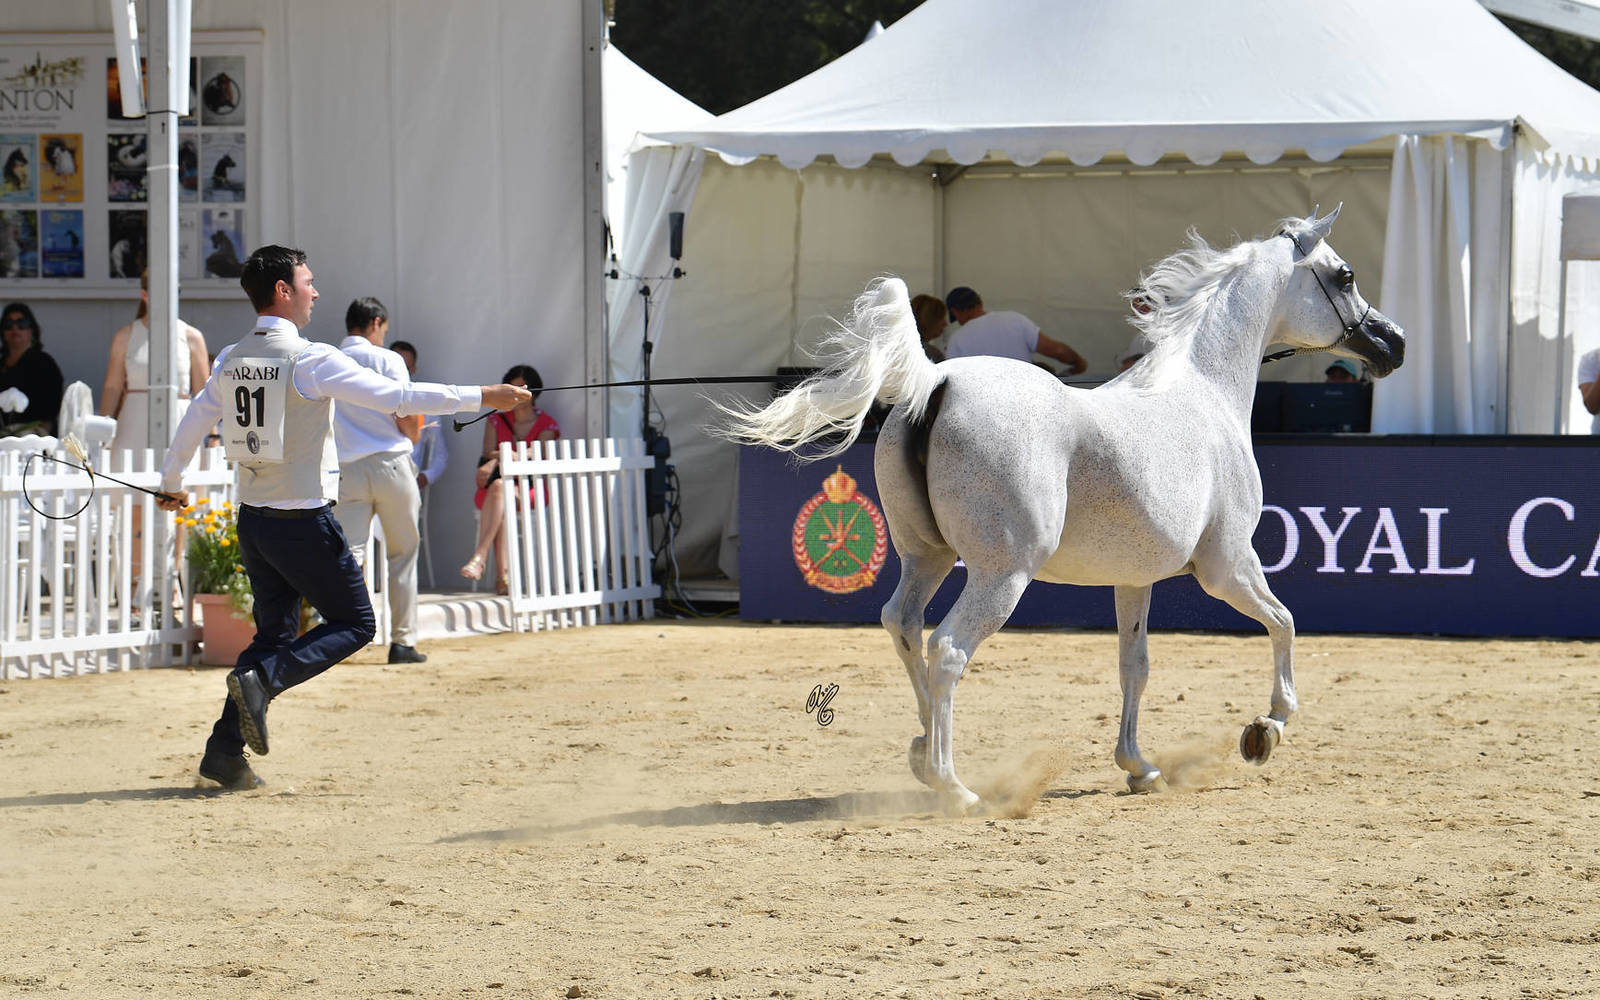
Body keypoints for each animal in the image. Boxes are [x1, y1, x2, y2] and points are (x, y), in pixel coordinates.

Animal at [720, 209, 1405, 812]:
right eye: (1344, 275)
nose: (1391, 344)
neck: (1202, 393)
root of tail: (936, 382)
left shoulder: (1134, 580)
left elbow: (1135, 667)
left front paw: (1140, 767)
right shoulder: (1229, 567)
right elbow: (1284, 622)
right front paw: (1266, 729)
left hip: (927, 557)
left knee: (904, 626)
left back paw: (921, 749)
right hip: (1002, 575)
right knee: (947, 650)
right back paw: (953, 787)